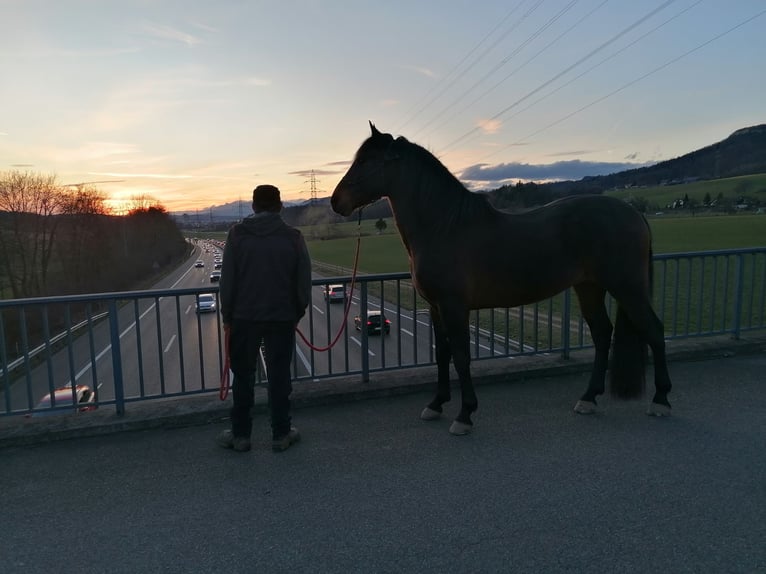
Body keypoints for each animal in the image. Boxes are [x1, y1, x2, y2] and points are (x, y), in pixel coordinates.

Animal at [330, 122, 672, 436]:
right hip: (589, 288)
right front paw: (436, 404)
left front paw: (465, 414)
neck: (444, 227)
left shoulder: (454, 307)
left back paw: (661, 400)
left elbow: (461, 357)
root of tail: (633, 213)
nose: (335, 201)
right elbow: (442, 355)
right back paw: (588, 399)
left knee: (654, 331)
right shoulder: (437, 308)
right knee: (602, 335)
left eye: (367, 161)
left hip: (627, 288)